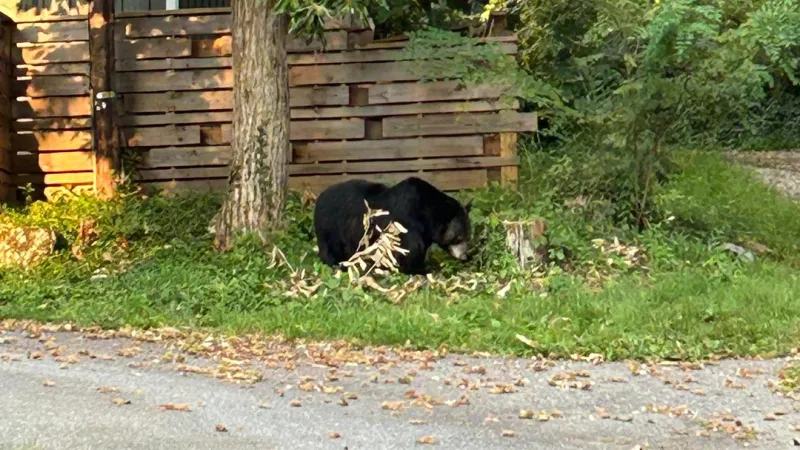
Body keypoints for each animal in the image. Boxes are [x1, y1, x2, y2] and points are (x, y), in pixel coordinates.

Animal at [313, 177, 472, 275]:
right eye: (459, 237)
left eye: (467, 236)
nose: (465, 256)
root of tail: (318, 199)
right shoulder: (405, 223)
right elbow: (408, 250)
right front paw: (421, 270)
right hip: (331, 227)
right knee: (331, 249)